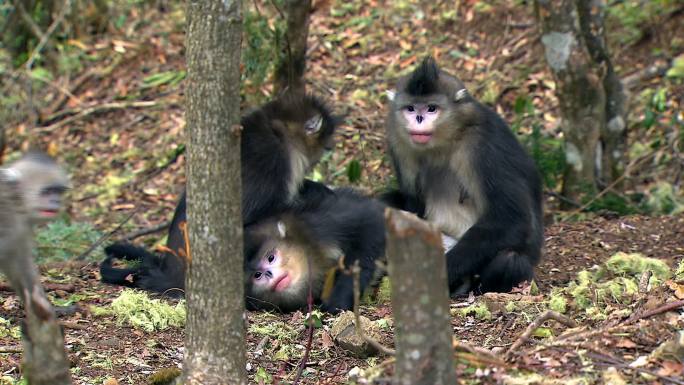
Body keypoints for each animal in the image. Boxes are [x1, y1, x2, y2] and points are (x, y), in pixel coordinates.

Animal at [382, 57, 544, 294]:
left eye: (431, 108)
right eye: (410, 108)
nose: (419, 119)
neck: (445, 140)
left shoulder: (483, 144)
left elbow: (511, 220)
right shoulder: (398, 139)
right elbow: (413, 205)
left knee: (510, 260)